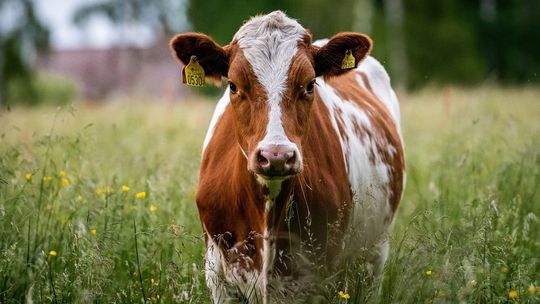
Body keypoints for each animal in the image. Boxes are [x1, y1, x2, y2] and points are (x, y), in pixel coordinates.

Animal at [170, 10, 404, 304]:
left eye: (310, 84)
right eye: (233, 86)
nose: (277, 155)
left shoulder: (323, 276)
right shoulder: (219, 277)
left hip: (374, 255)